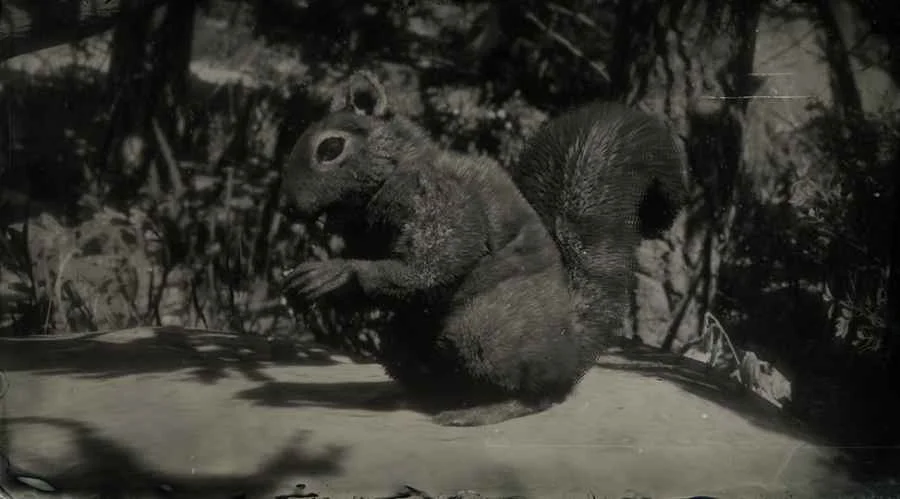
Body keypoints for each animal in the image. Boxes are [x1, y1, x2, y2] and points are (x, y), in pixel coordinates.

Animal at [279, 70, 687, 427]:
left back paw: (491, 409)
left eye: (331, 148)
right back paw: (415, 396)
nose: (290, 207)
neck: (398, 170)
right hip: (403, 338)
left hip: (486, 329)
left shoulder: (441, 197)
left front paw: (339, 271)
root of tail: (571, 350)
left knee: (539, 394)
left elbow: (436, 261)